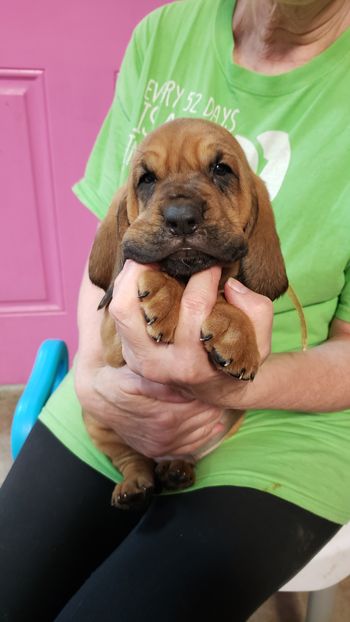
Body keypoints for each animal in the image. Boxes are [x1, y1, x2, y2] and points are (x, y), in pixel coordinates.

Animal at [84, 118, 288, 512]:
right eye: (146, 178)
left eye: (221, 169)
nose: (181, 218)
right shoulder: (115, 340)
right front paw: (167, 294)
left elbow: (223, 294)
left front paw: (235, 332)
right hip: (96, 419)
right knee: (131, 458)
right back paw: (136, 485)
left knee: (177, 458)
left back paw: (176, 469)